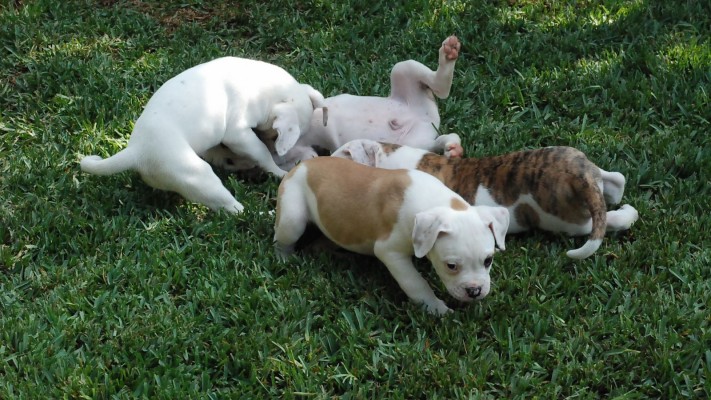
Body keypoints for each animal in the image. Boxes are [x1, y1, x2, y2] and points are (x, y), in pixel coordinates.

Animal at [82, 57, 326, 214]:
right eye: (275, 136)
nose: (278, 152)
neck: (262, 88)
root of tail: (136, 152)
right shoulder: (238, 134)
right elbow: (261, 153)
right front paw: (277, 170)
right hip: (198, 176)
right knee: (233, 208)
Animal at [274, 156, 512, 316]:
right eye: (451, 266)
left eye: (488, 261)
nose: (474, 291)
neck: (437, 204)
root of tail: (299, 166)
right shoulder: (390, 252)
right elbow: (415, 283)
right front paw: (436, 308)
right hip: (292, 218)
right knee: (282, 240)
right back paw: (286, 259)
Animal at [334, 140, 640, 260]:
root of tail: (579, 177)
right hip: (576, 158)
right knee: (616, 179)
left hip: (563, 219)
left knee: (601, 221)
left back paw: (626, 215)